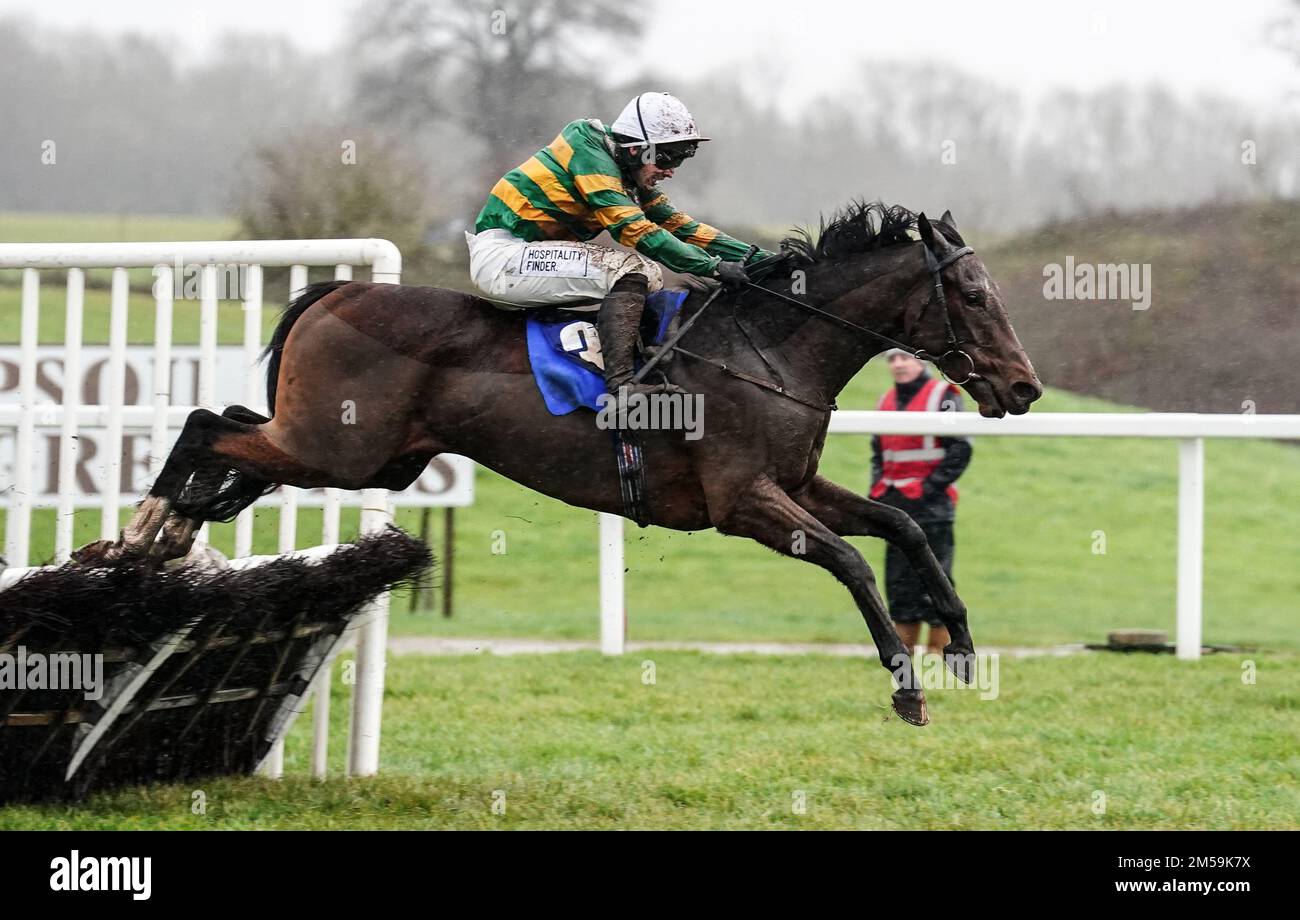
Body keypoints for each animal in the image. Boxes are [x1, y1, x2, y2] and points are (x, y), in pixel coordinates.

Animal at [76, 202, 1040, 727]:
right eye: (976, 294)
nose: (1025, 386)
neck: (767, 346)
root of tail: (341, 289)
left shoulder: (798, 484)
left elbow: (903, 524)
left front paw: (961, 646)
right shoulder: (743, 501)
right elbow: (849, 561)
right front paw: (906, 685)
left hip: (362, 454)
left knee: (233, 436)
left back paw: (163, 536)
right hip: (335, 447)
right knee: (206, 423)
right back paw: (137, 535)